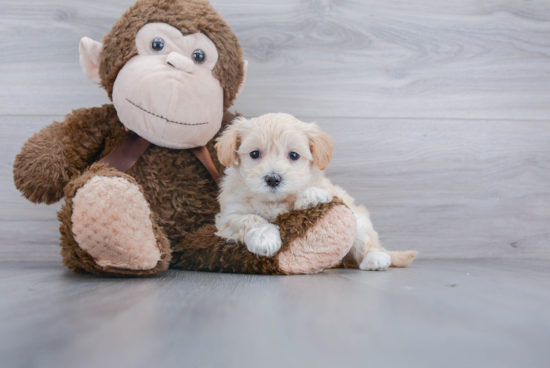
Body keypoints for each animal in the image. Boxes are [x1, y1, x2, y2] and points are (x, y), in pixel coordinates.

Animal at [215, 112, 418, 270]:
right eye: (255, 154)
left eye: (294, 155)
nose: (272, 178)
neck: (274, 201)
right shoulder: (228, 215)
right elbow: (249, 219)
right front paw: (265, 237)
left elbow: (313, 190)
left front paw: (312, 195)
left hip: (360, 222)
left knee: (368, 243)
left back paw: (375, 259)